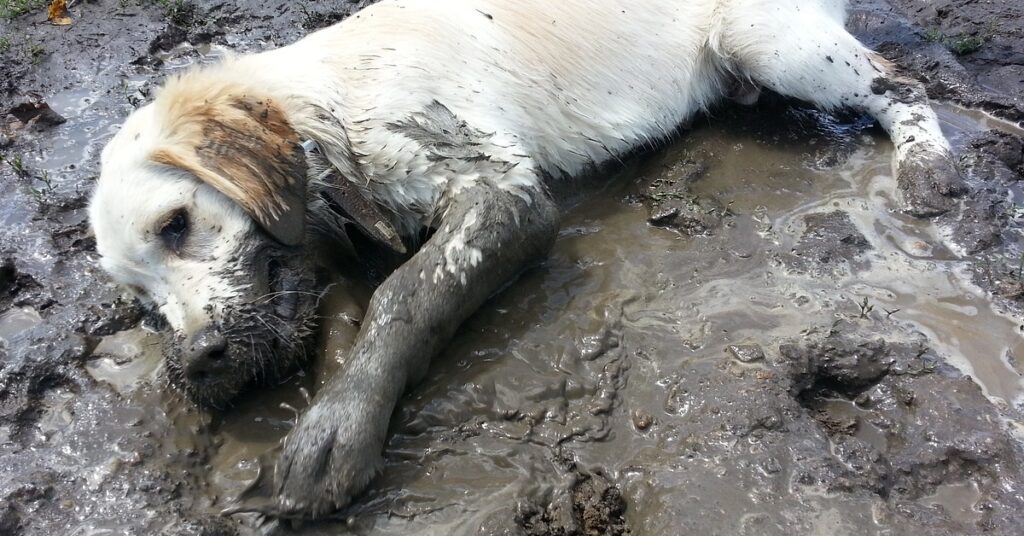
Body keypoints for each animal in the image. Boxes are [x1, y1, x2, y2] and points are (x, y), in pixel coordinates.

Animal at [86, 0, 958, 520]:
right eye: (142, 305)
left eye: (177, 224)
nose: (197, 361)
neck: (333, 108)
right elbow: (341, 307)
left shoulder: (501, 190)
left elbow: (405, 296)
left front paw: (337, 434)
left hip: (770, 37)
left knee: (902, 83)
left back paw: (928, 169)